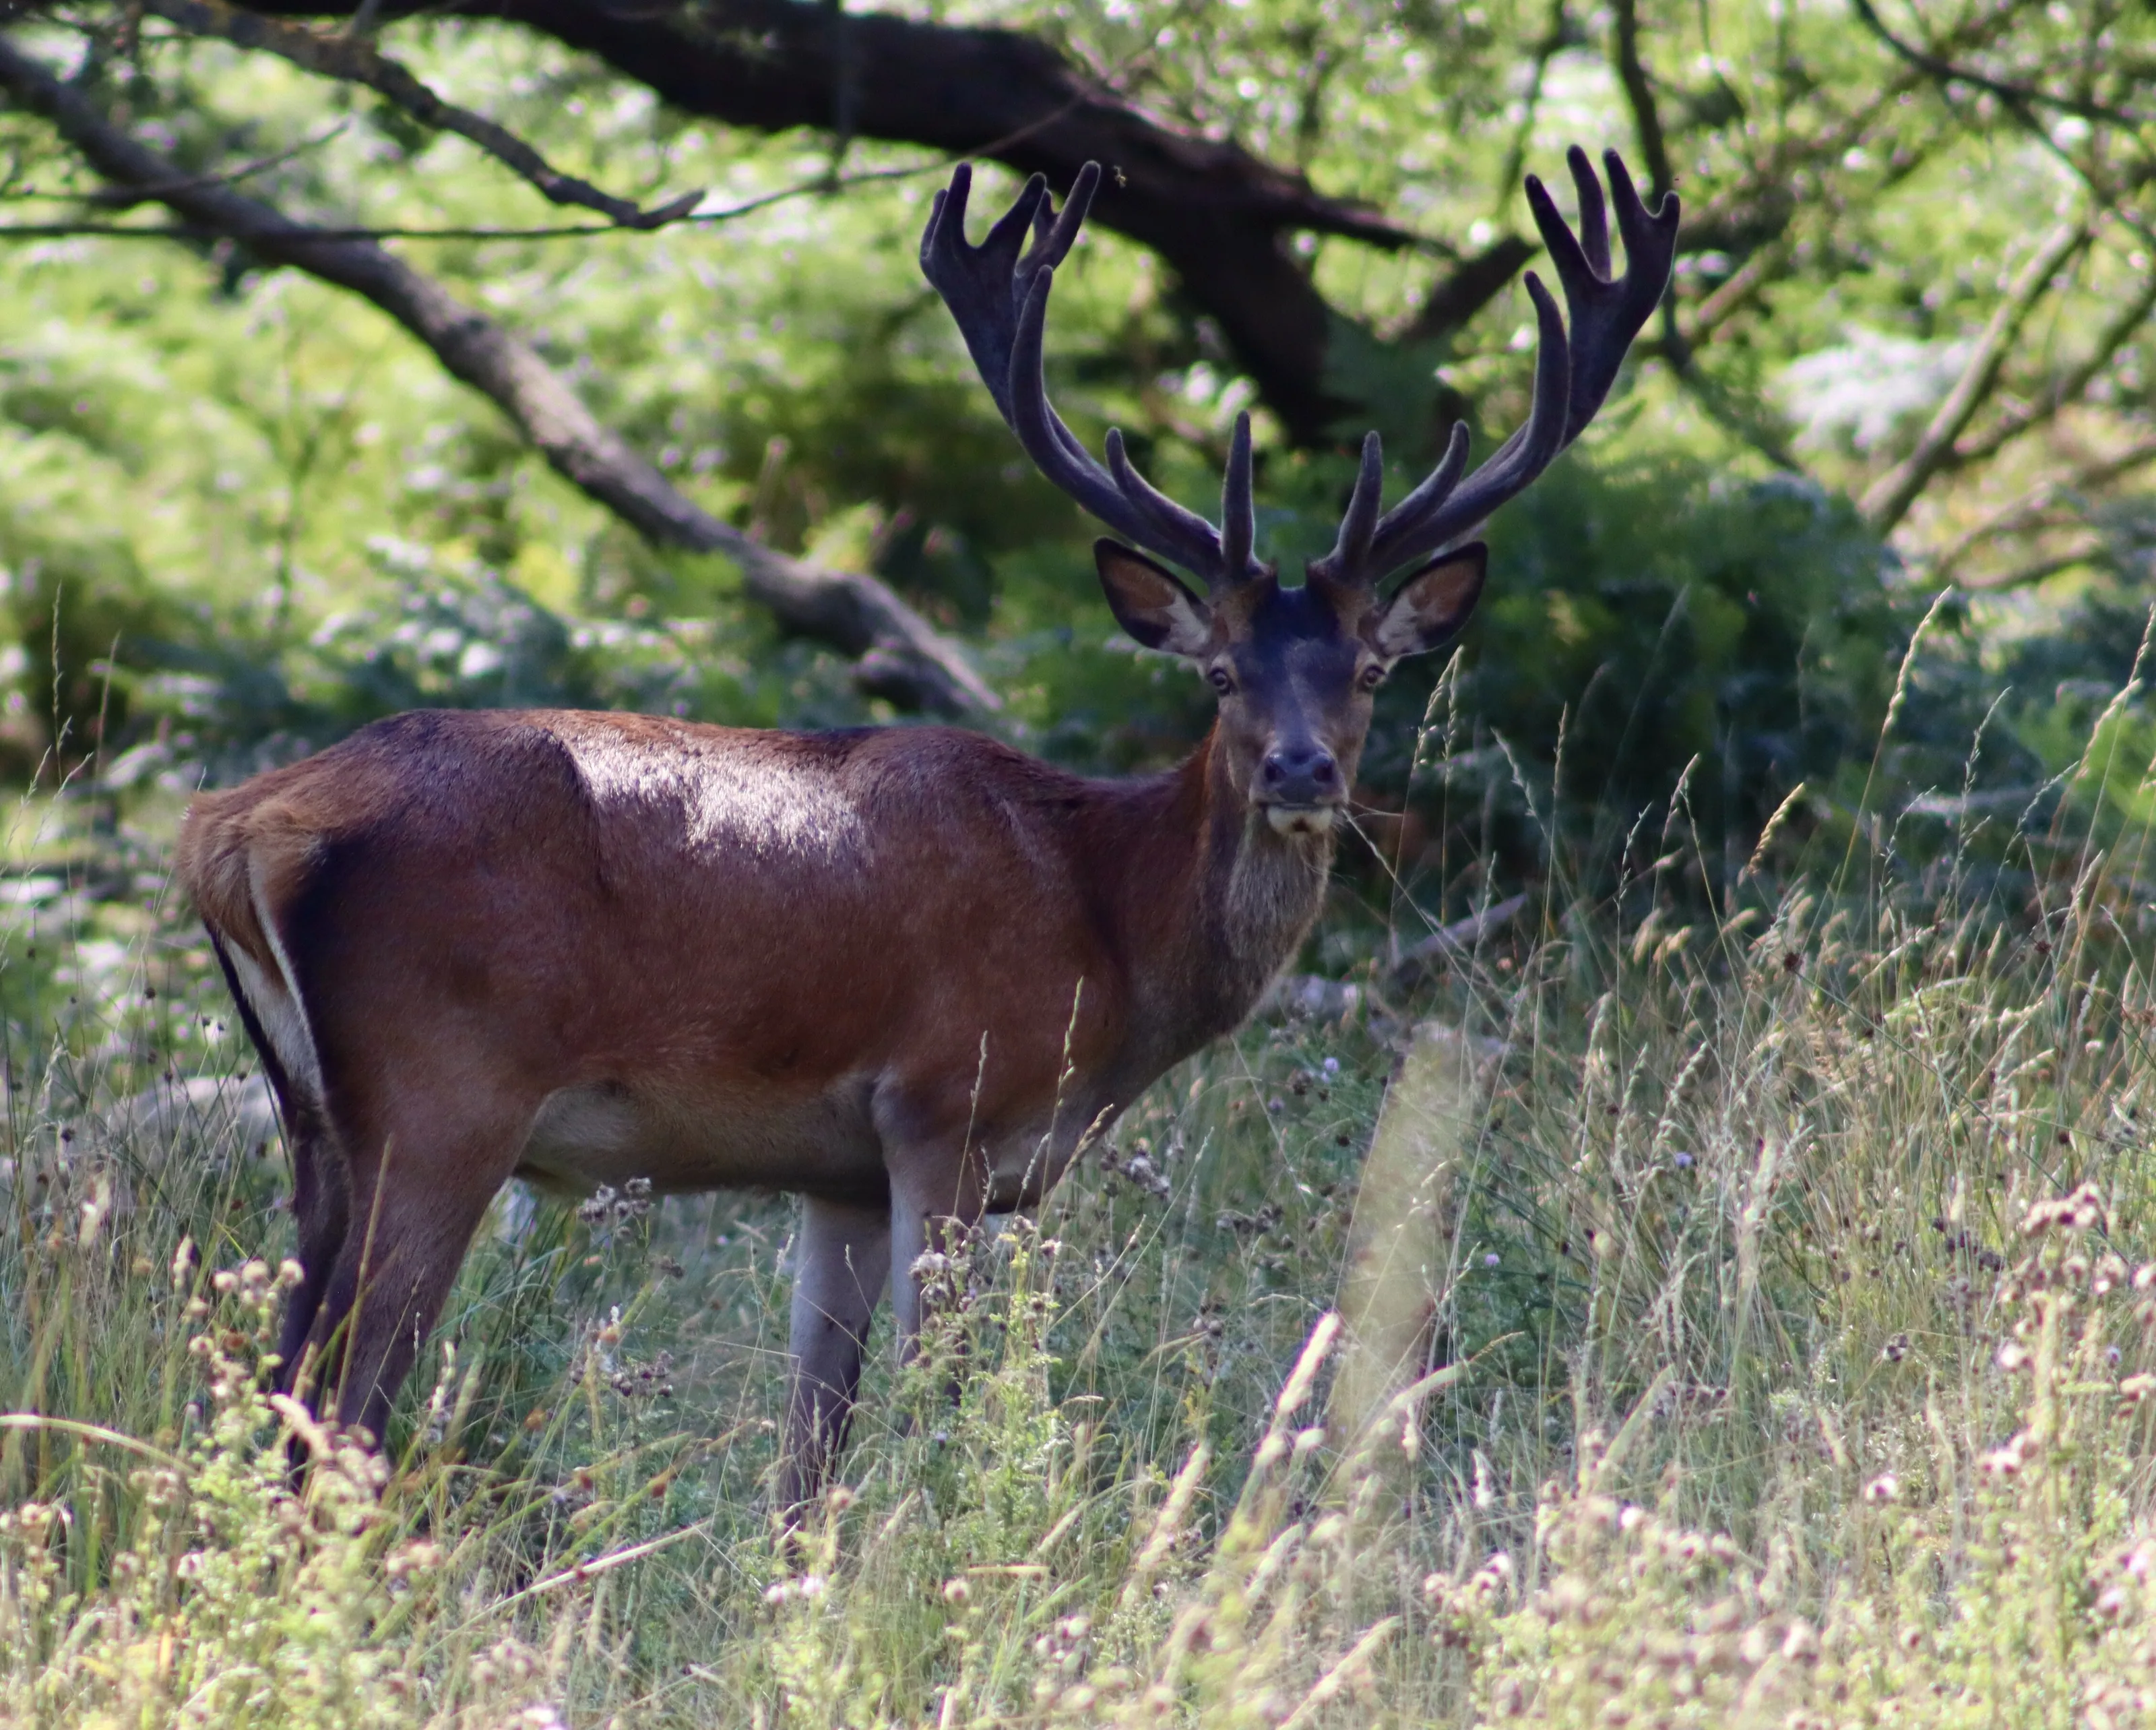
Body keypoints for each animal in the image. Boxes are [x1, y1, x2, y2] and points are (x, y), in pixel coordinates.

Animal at [173, 148, 1676, 1508]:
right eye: (1218, 671)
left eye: (1368, 667)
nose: (1302, 767)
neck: (1105, 920)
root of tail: (235, 828)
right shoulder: (944, 1102)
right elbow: (936, 1410)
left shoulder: (834, 1171)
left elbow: (810, 1454)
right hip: (442, 1091)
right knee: (341, 1402)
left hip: (314, 1117)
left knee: (283, 1383)